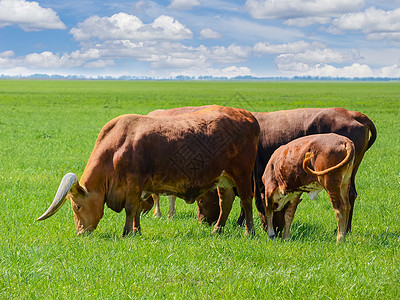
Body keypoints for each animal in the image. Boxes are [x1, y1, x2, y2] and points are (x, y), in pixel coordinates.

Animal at [37, 106, 260, 236]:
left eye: (77, 207)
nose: (81, 233)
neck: (117, 146)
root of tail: (248, 117)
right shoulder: (140, 188)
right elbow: (136, 209)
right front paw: (136, 230)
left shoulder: (134, 183)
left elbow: (130, 208)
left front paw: (127, 232)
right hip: (224, 179)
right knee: (226, 202)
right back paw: (217, 230)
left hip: (242, 175)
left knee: (246, 201)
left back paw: (249, 231)